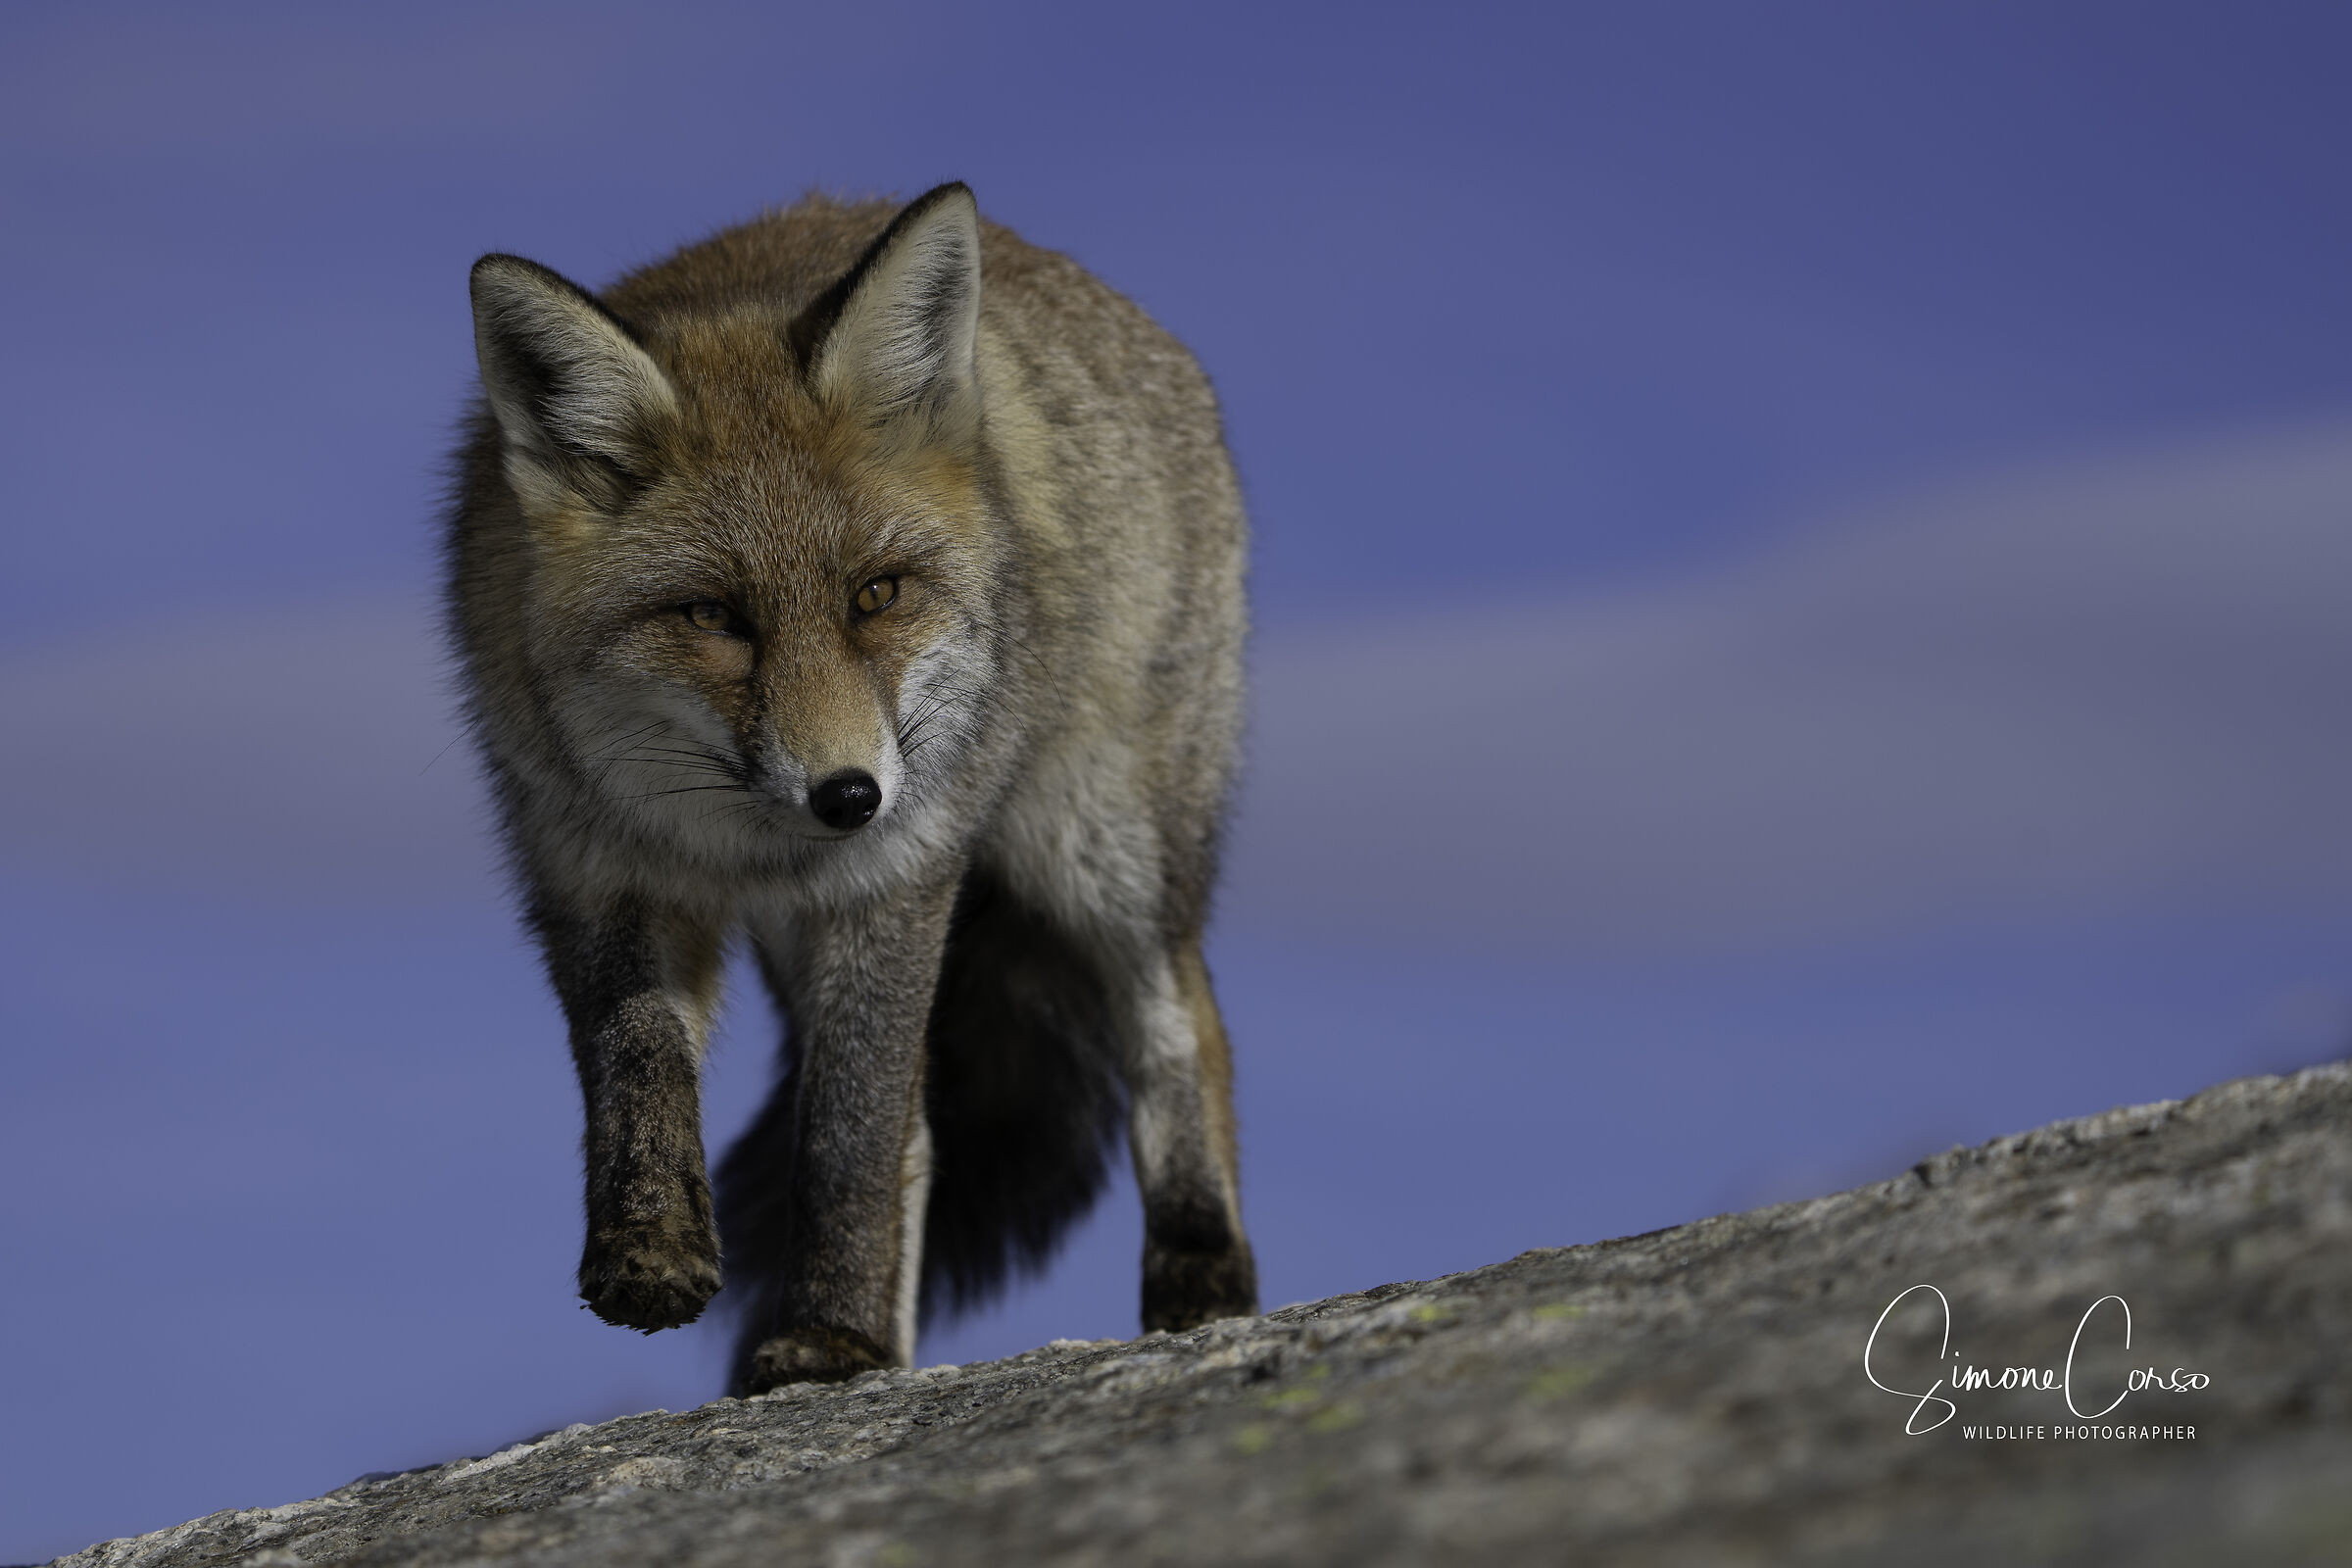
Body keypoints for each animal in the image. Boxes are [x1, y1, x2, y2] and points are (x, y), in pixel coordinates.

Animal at [444, 184, 1258, 1393]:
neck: (739, 840)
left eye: (876, 594)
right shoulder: (591, 862)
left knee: (1183, 1024)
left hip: (1100, 846)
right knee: (928, 1128)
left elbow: (849, 1137)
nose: (848, 795)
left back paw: (1201, 1271)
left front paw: (829, 1337)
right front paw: (651, 1250)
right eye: (715, 617)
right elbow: (637, 1065)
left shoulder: (892, 880)